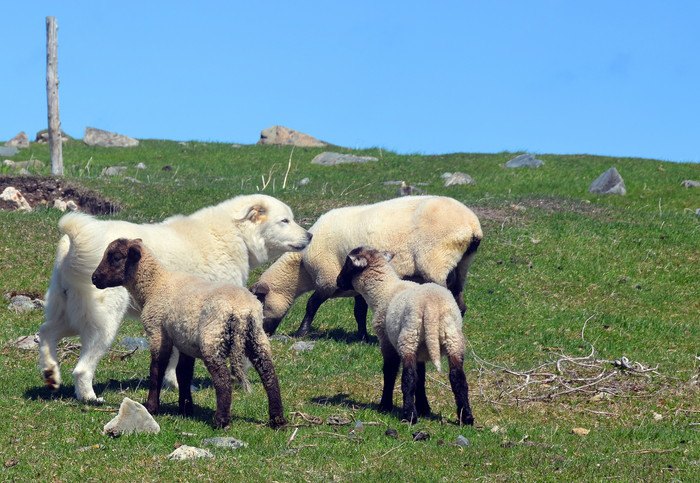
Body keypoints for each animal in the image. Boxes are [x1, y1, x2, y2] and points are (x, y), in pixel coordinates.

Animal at [38, 195, 312, 402]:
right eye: (285, 220)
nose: (310, 236)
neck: (236, 234)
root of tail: (72, 244)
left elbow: (173, 359)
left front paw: (173, 383)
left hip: (70, 314)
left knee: (46, 332)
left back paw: (51, 373)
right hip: (103, 324)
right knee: (81, 369)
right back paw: (90, 398)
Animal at [92, 239, 284, 432]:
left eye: (116, 257)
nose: (94, 278)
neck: (154, 285)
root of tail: (241, 310)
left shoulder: (158, 333)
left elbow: (156, 369)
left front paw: (152, 407)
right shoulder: (185, 342)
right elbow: (183, 373)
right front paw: (185, 408)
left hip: (213, 339)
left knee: (223, 381)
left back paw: (220, 421)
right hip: (257, 337)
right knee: (270, 376)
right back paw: (278, 420)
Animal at [250, 196, 482, 340]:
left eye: (261, 303)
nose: (265, 333)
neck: (301, 268)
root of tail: (472, 226)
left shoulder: (327, 278)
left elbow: (311, 305)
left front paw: (301, 332)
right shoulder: (357, 285)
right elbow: (359, 312)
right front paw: (362, 336)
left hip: (435, 261)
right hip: (461, 265)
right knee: (461, 304)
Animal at [334, 248, 476, 426]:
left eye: (348, 265)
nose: (338, 281)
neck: (383, 290)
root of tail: (432, 308)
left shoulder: (386, 340)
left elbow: (390, 371)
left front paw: (385, 406)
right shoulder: (421, 351)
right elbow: (421, 378)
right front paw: (424, 408)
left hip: (408, 337)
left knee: (408, 377)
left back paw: (409, 415)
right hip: (452, 338)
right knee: (458, 378)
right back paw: (467, 417)